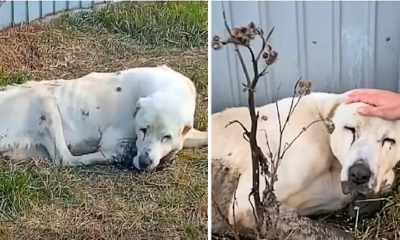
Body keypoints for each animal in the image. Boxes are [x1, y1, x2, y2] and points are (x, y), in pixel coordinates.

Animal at [0, 65, 209, 171]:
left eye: (166, 137)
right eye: (143, 130)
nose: (144, 163)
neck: (170, 88)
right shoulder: (113, 141)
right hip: (45, 101)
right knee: (65, 158)